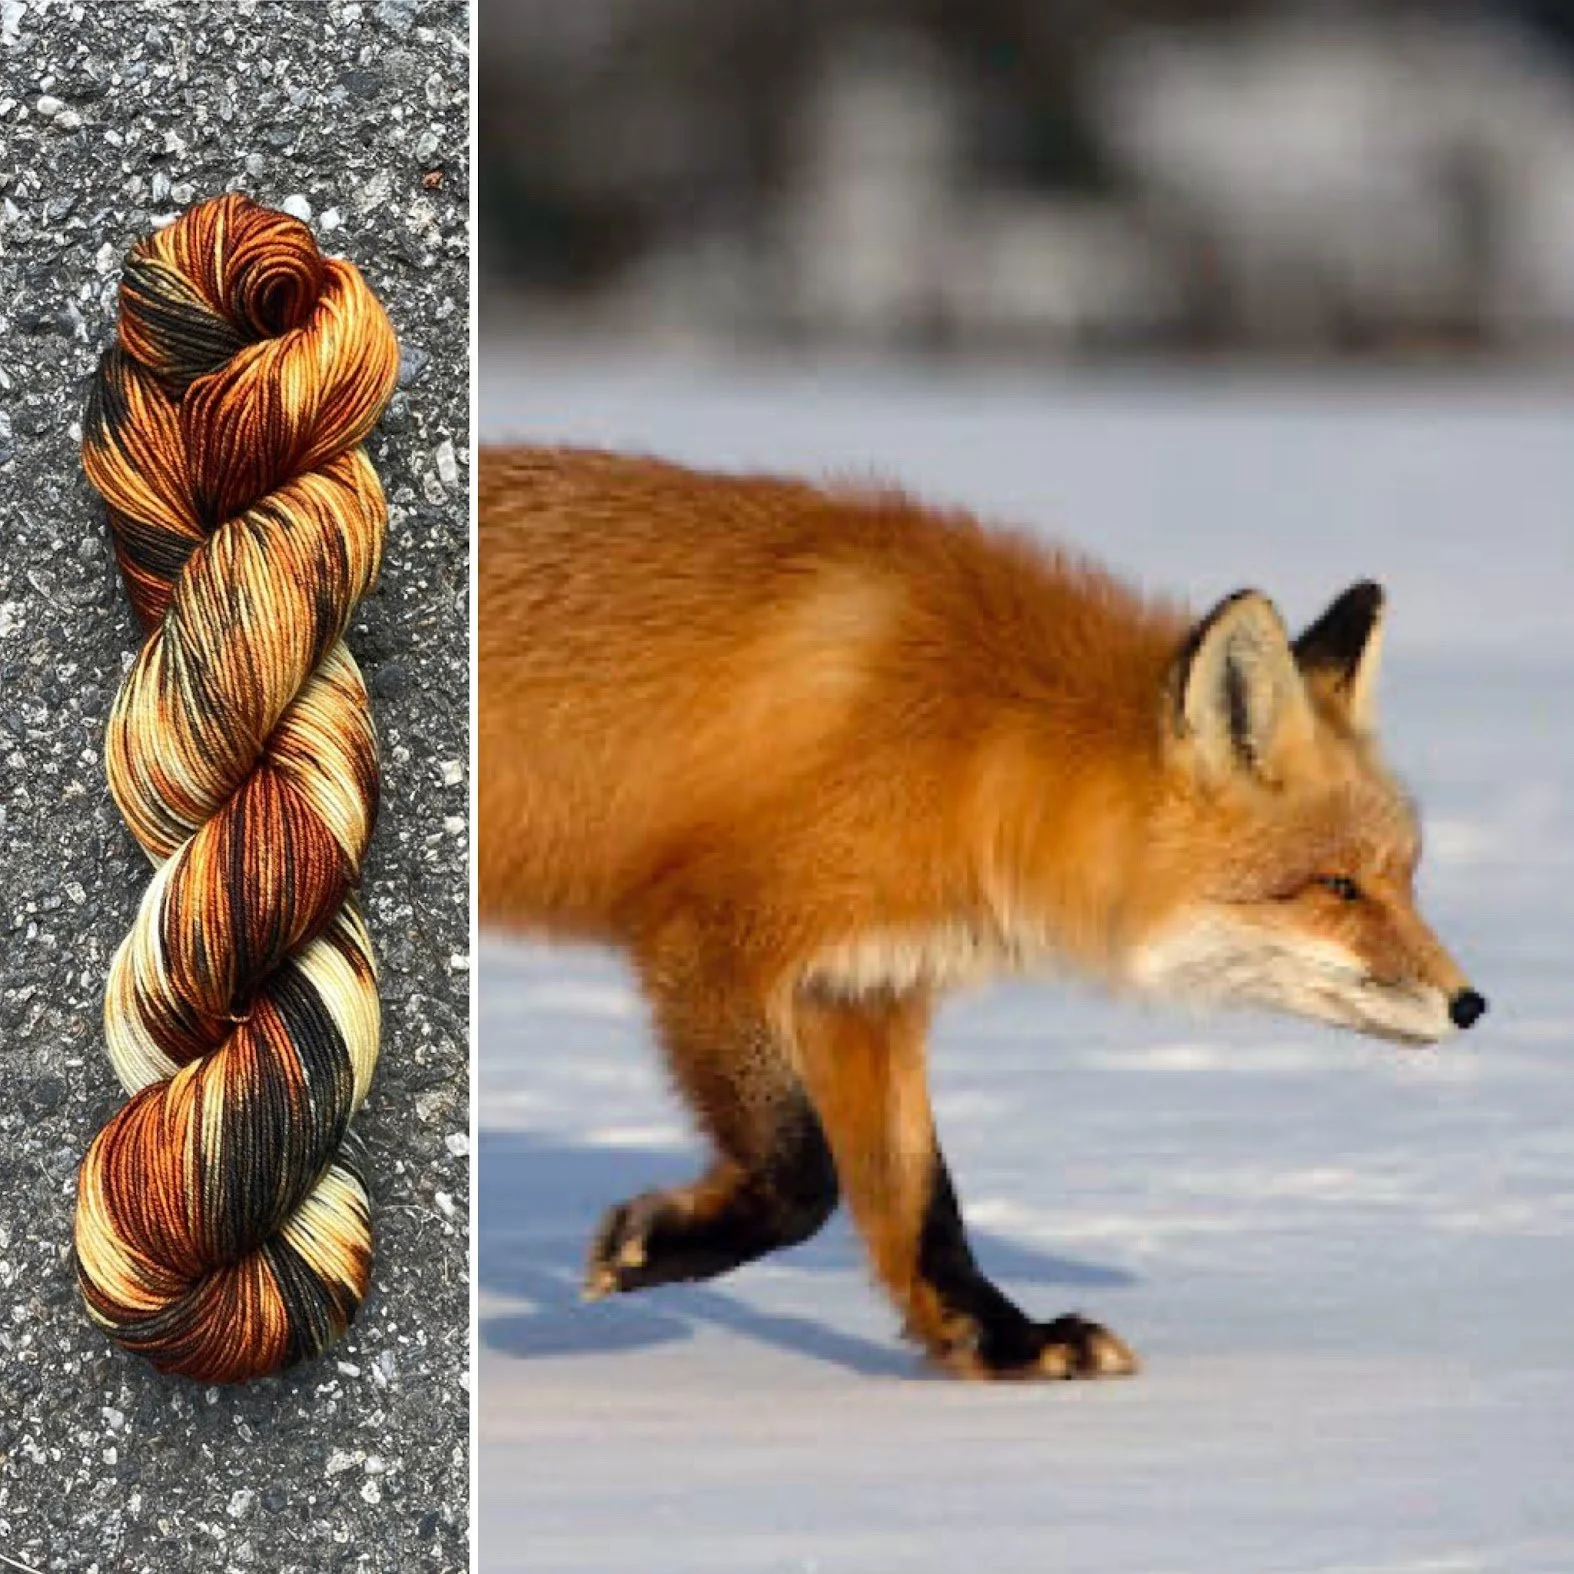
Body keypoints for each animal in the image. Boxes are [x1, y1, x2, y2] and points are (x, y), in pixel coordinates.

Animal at [478, 445, 1486, 1381]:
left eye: (1408, 876)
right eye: (1337, 886)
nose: (1470, 1004)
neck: (973, 749)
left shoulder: (860, 986)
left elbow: (919, 1201)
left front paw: (1005, 1343)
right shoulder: (709, 942)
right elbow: (804, 1178)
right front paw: (652, 1252)